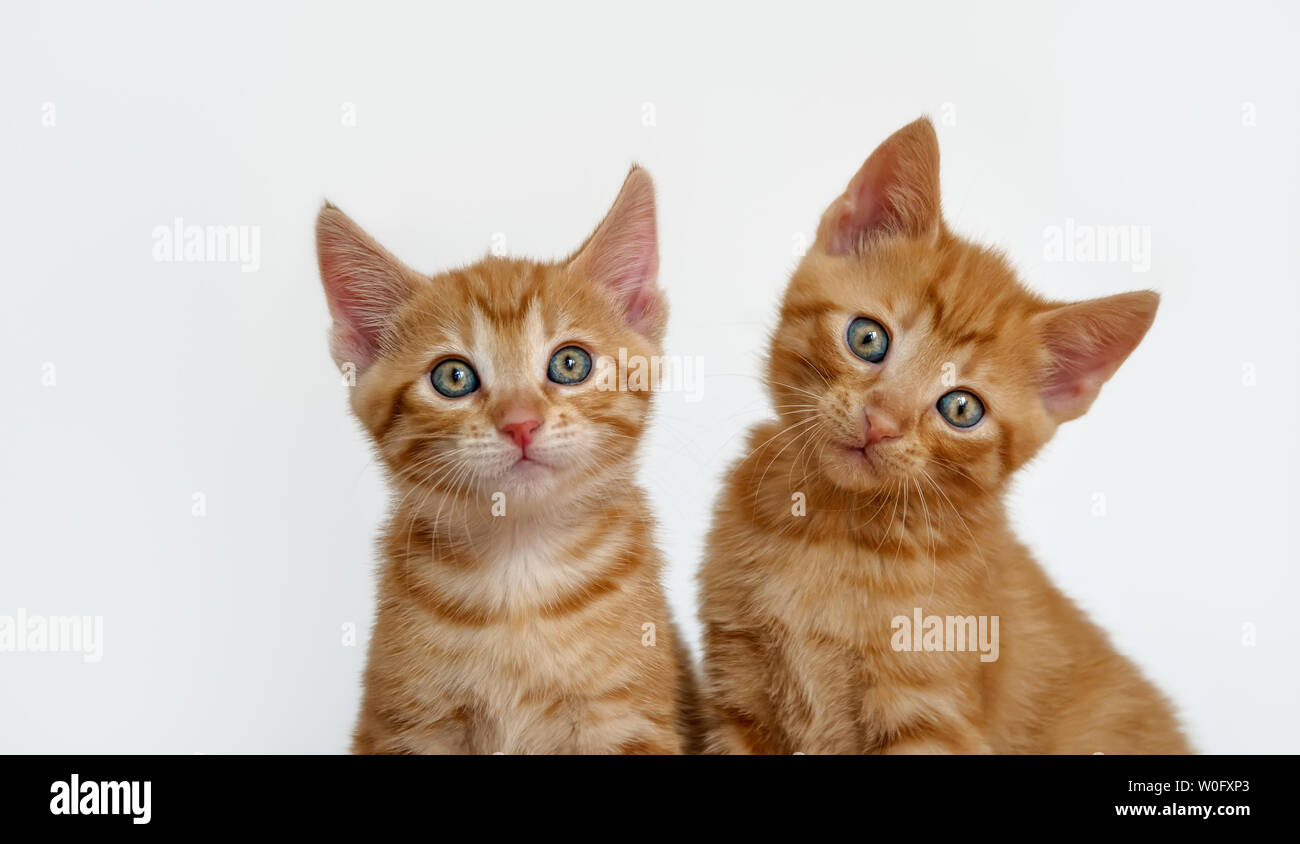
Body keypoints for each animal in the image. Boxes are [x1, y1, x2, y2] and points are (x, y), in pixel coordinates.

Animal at [315, 167, 702, 754]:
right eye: (453, 377)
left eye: (570, 363)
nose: (520, 422)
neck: (518, 578)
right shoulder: (405, 725)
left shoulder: (627, 721)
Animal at [702, 117, 1190, 749]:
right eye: (867, 338)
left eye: (961, 408)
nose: (881, 423)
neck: (836, 532)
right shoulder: (738, 696)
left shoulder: (931, 717)